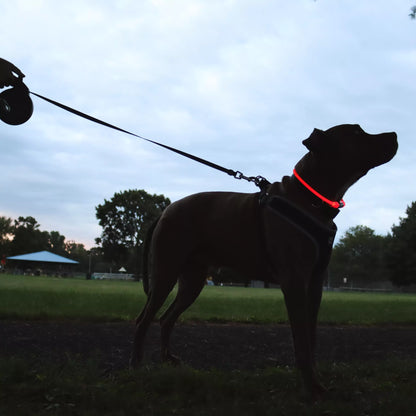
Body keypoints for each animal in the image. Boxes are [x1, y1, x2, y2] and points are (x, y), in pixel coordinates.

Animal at [130, 124, 396, 400]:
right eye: (356, 133)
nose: (395, 135)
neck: (308, 198)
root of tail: (164, 211)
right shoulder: (294, 282)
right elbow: (301, 340)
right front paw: (311, 387)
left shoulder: (315, 284)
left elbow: (310, 337)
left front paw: (314, 378)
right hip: (165, 273)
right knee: (144, 319)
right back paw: (137, 366)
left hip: (192, 281)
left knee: (166, 318)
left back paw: (167, 359)